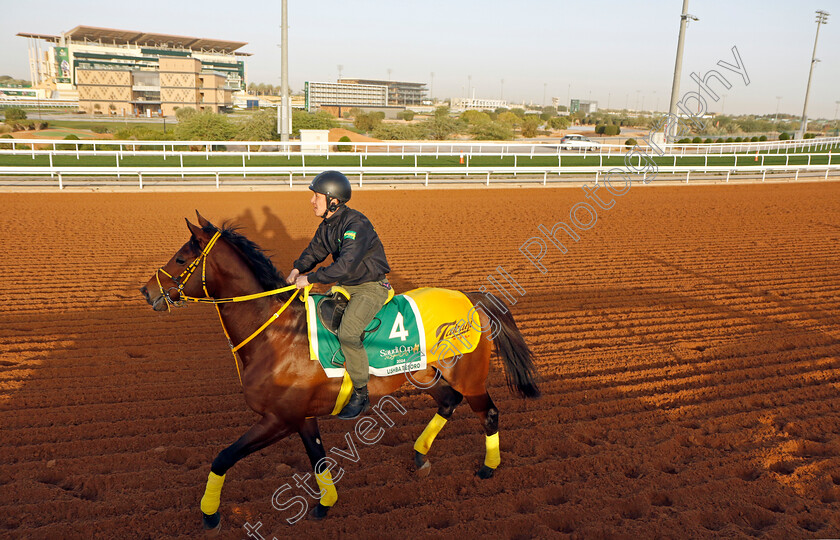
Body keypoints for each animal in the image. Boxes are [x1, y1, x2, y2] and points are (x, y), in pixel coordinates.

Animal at [139, 211, 540, 532]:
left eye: (180, 257)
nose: (146, 292)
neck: (276, 333)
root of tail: (473, 299)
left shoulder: (279, 418)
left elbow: (223, 457)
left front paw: (210, 515)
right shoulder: (301, 417)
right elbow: (318, 460)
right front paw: (325, 505)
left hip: (470, 378)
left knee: (488, 413)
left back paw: (488, 469)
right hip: (426, 376)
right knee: (447, 402)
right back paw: (420, 456)